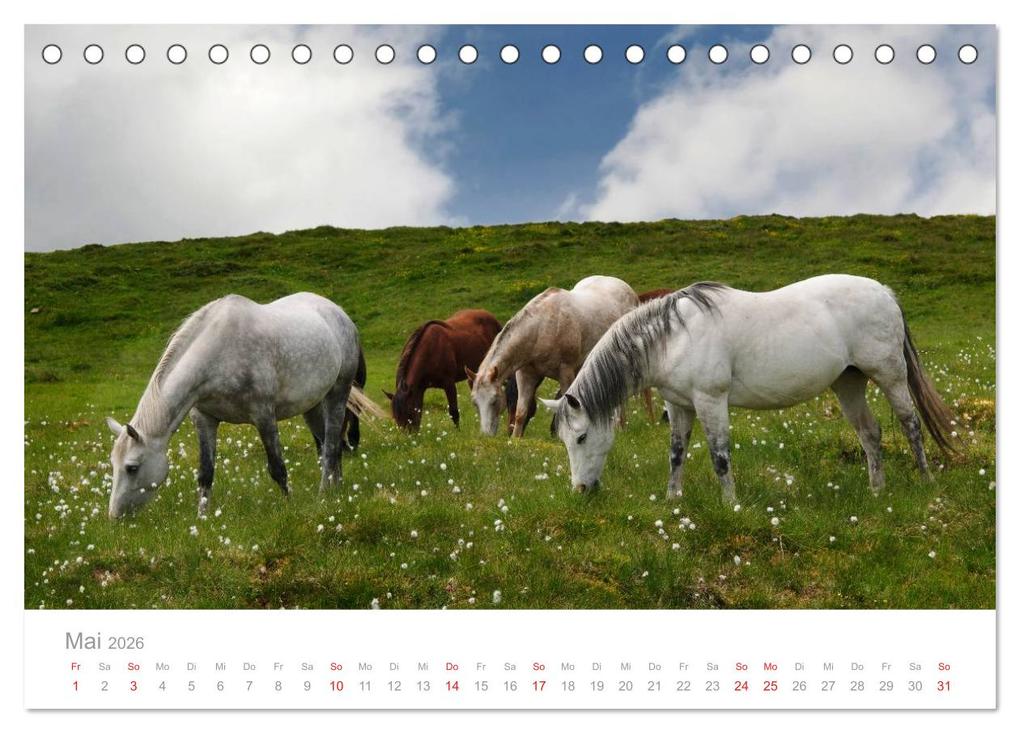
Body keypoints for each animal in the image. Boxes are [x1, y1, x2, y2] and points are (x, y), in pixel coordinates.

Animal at [104, 292, 365, 518]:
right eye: (113, 464)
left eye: (132, 467)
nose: (114, 516)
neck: (219, 353)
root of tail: (339, 313)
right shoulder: (204, 420)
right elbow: (205, 474)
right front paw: (202, 518)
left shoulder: (263, 416)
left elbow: (278, 469)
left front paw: (289, 506)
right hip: (312, 406)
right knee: (329, 446)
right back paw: (336, 490)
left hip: (337, 394)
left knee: (331, 446)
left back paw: (323, 494)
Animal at [384, 309, 532, 433]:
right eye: (395, 417)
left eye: (408, 413)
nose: (409, 437)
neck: (430, 350)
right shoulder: (420, 389)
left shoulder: (449, 384)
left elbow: (453, 412)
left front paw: (458, 432)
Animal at [469, 275, 639, 437]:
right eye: (475, 403)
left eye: (494, 401)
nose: (486, 435)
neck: (541, 329)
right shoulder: (525, 374)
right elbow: (521, 413)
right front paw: (515, 439)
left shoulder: (566, 372)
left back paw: (620, 427)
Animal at [541, 274, 959, 502]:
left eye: (580, 437)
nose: (580, 490)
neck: (673, 337)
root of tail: (885, 292)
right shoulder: (679, 406)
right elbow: (676, 454)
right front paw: (672, 499)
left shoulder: (711, 401)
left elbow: (719, 456)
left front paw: (730, 504)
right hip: (849, 383)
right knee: (871, 434)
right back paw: (877, 490)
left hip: (890, 376)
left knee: (910, 425)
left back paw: (926, 481)